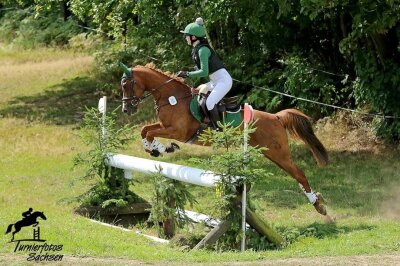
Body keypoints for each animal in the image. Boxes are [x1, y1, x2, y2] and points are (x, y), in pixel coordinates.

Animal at [120, 63, 330, 217]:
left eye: (126, 85)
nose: (126, 110)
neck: (173, 98)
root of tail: (277, 117)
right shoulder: (164, 126)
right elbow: (145, 130)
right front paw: (155, 149)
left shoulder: (177, 131)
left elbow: (149, 133)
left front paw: (161, 148)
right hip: (270, 153)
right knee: (296, 173)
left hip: (278, 152)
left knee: (299, 173)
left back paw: (318, 205)